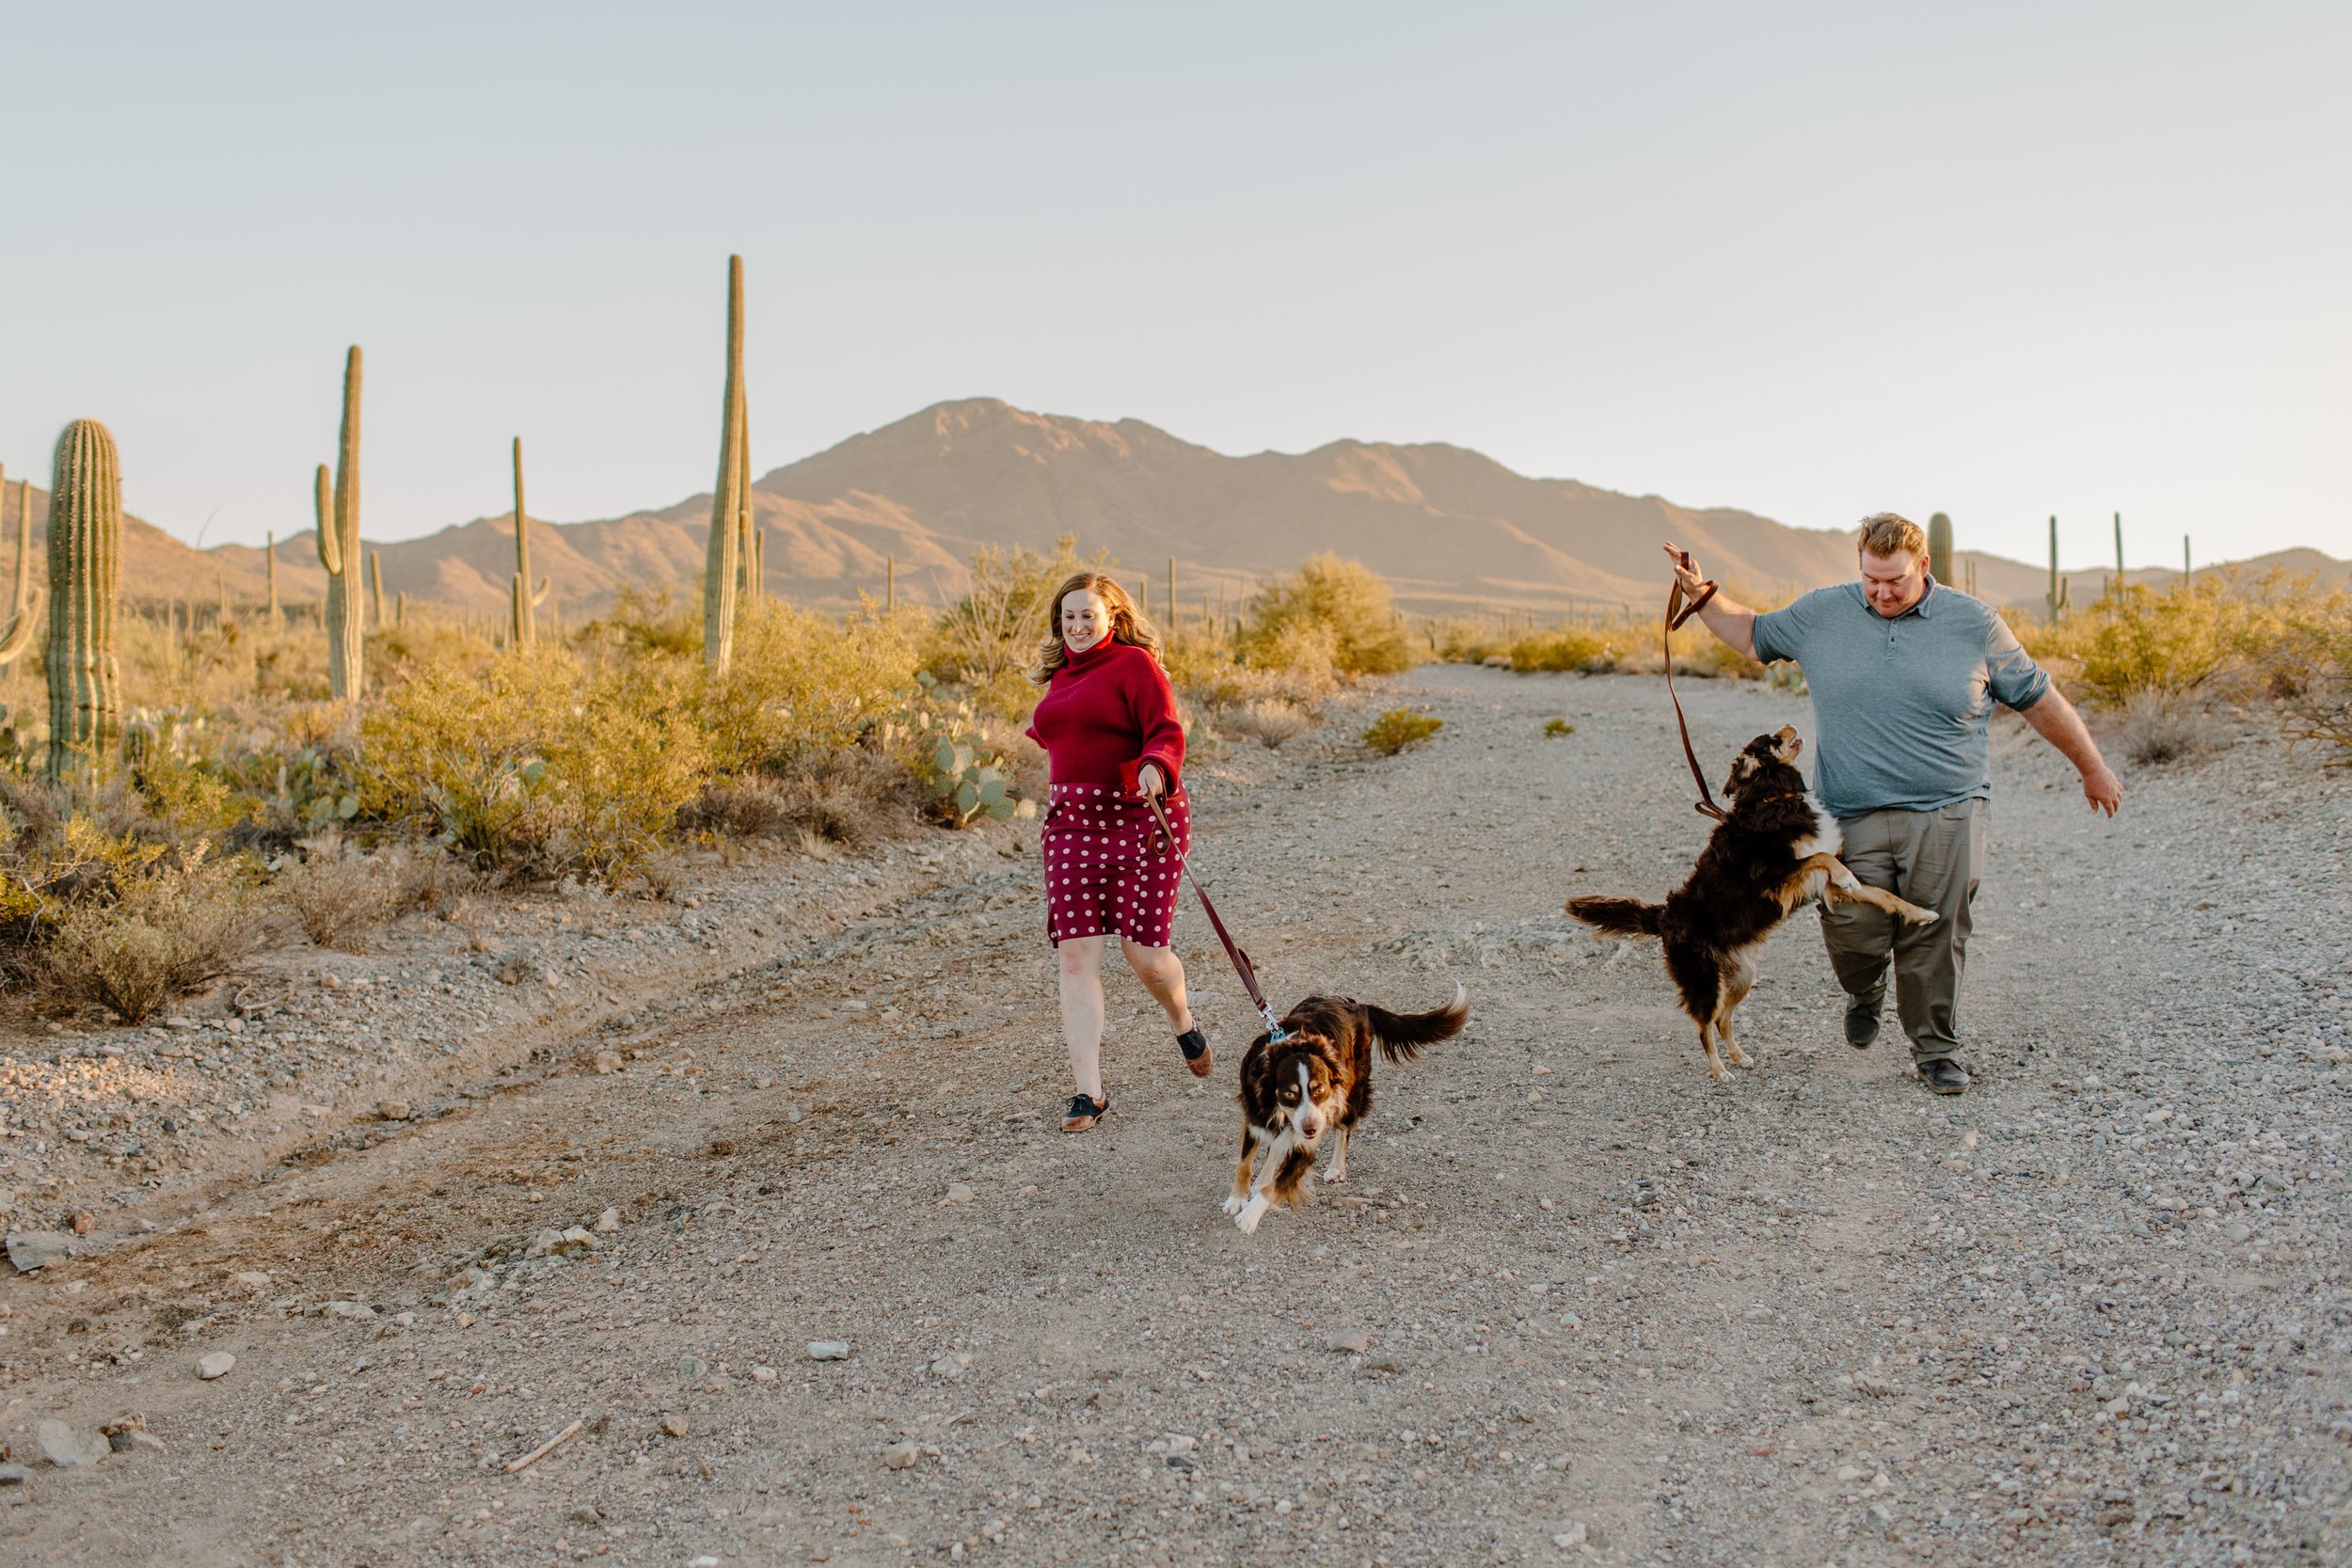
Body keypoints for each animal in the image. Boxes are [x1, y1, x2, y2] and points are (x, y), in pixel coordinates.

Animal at [1223, 982, 1458, 1241]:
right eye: (1289, 1094)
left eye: (1319, 1090)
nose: (1312, 1130)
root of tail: (1358, 1005)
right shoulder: (1255, 1115)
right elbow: (1245, 1162)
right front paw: (1237, 1198)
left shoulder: (1306, 1142)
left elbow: (1278, 1183)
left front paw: (1249, 1216)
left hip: (1351, 1093)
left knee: (1344, 1131)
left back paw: (1335, 1168)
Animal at [1571, 728, 1938, 1085]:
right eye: (1771, 741)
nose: (1789, 726)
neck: (1775, 799)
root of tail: (1665, 915)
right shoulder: (1774, 877)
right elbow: (1821, 857)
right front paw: (1849, 876)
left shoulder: (1822, 885)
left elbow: (1883, 895)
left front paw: (1921, 913)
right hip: (1704, 979)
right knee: (1705, 1025)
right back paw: (1719, 1069)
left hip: (1741, 976)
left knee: (1723, 1019)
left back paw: (1738, 1056)